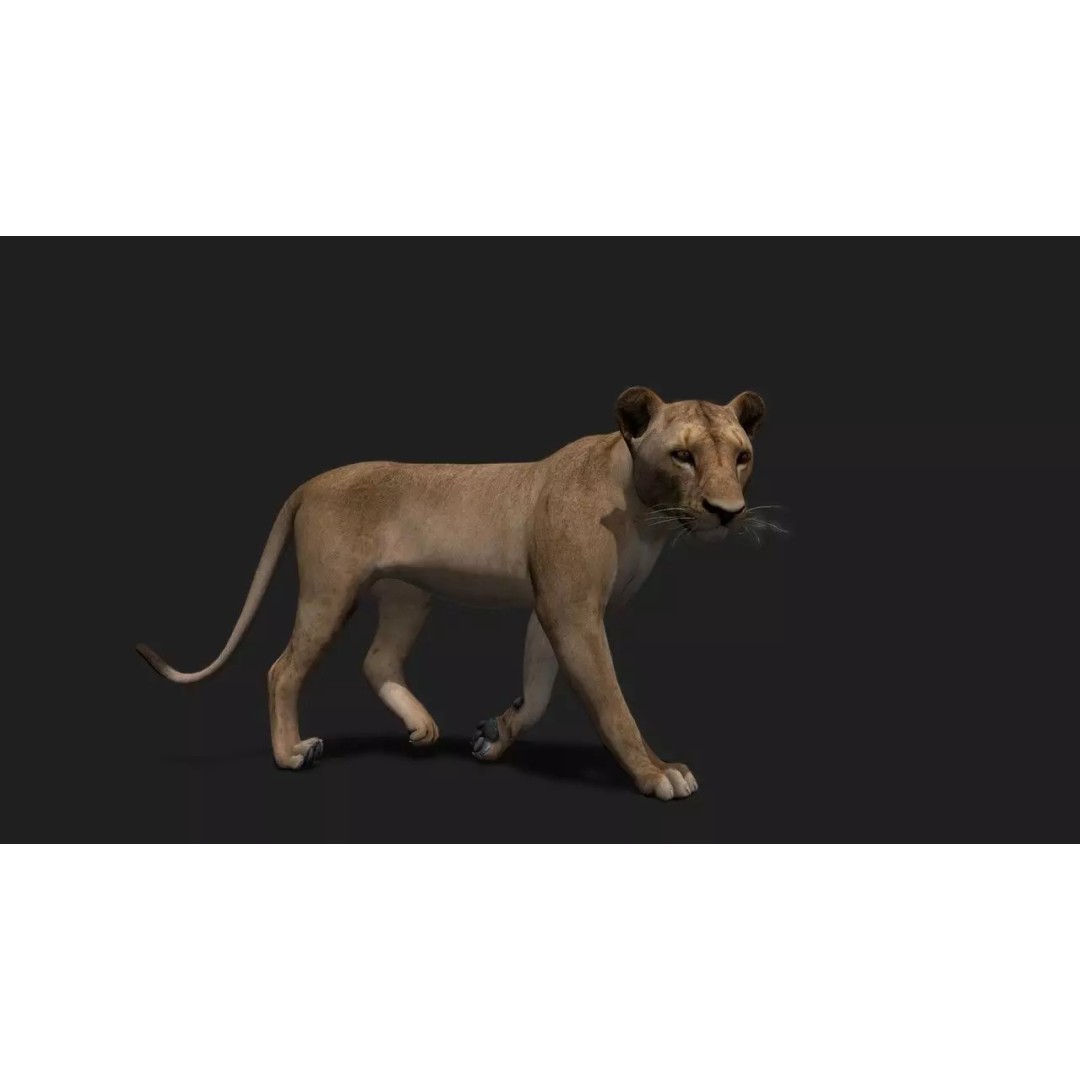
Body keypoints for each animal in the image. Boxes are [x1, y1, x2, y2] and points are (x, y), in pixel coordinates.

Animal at [136, 385, 766, 800]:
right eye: (682, 455)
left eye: (742, 456)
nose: (727, 512)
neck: (644, 513)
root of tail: (312, 481)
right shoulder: (572, 609)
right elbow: (611, 702)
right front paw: (658, 773)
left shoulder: (550, 608)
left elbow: (538, 691)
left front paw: (494, 735)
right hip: (330, 590)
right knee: (282, 669)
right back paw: (292, 754)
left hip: (407, 596)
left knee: (377, 659)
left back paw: (421, 728)